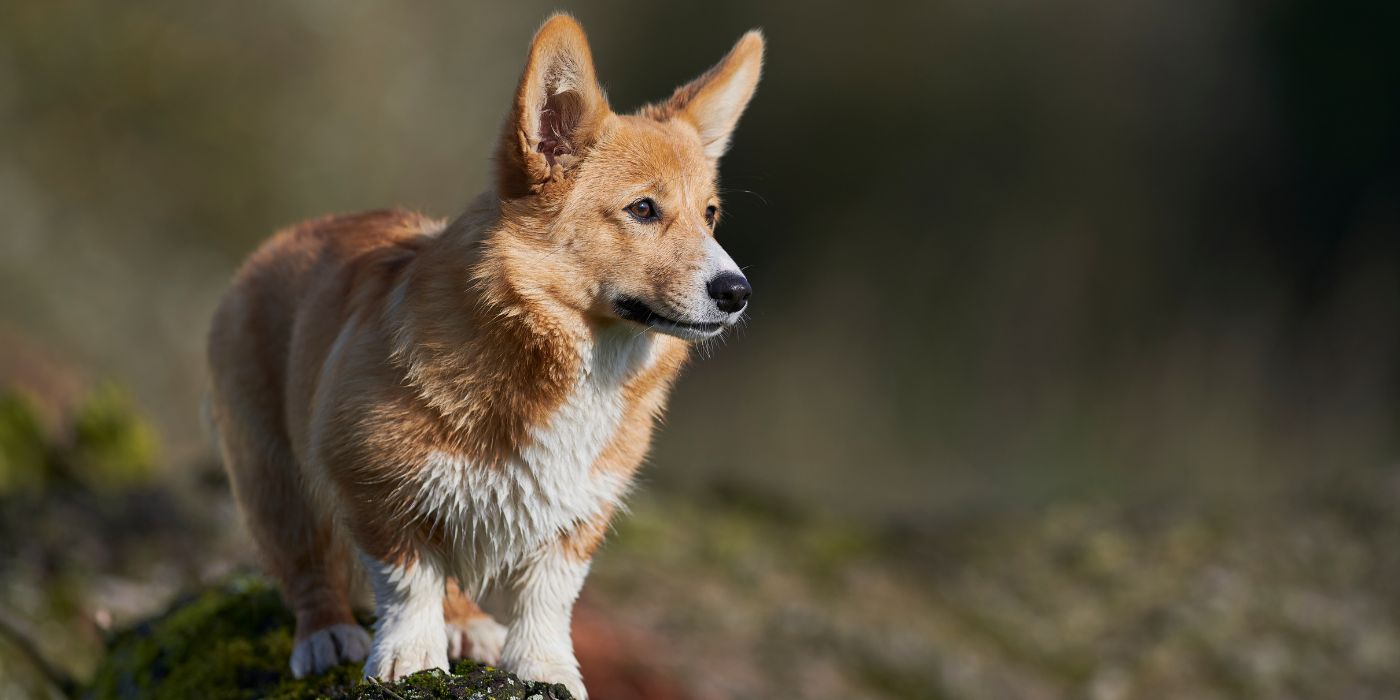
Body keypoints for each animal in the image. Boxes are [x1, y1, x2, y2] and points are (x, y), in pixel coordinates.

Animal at [204, 13, 767, 697]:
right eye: (642, 209)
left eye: (710, 215)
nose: (738, 292)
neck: (562, 351)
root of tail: (289, 236)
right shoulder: (375, 485)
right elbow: (408, 581)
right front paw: (411, 659)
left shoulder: (579, 511)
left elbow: (548, 599)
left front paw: (545, 669)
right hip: (270, 472)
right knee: (304, 559)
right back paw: (327, 635)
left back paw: (469, 625)